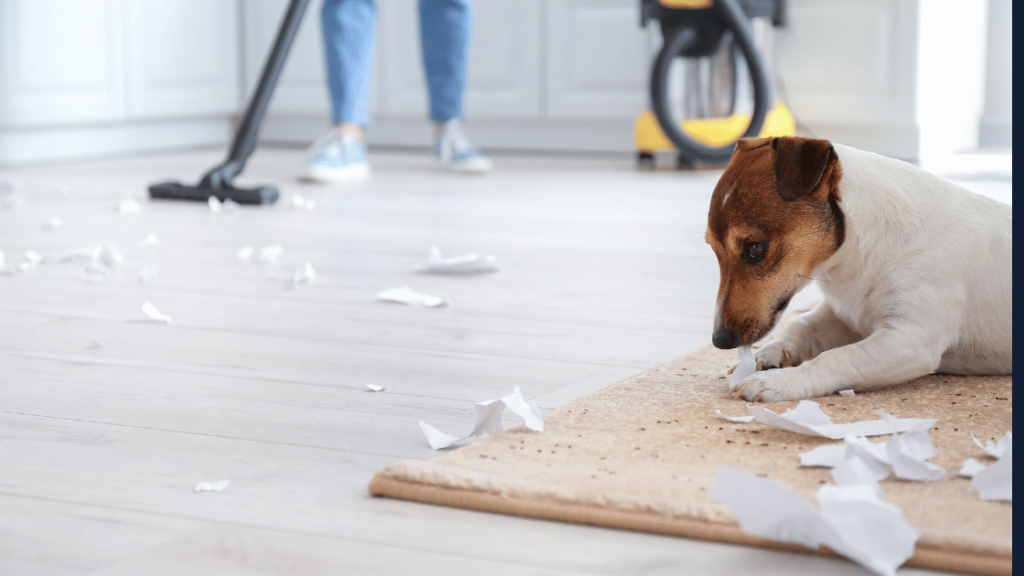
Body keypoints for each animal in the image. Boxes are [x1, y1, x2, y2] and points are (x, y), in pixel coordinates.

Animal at [704, 136, 1007, 401]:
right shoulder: (842, 315)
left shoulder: (911, 339)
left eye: (755, 249)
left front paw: (779, 383)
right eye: (712, 248)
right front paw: (763, 355)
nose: (719, 341)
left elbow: (835, 358)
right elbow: (800, 325)